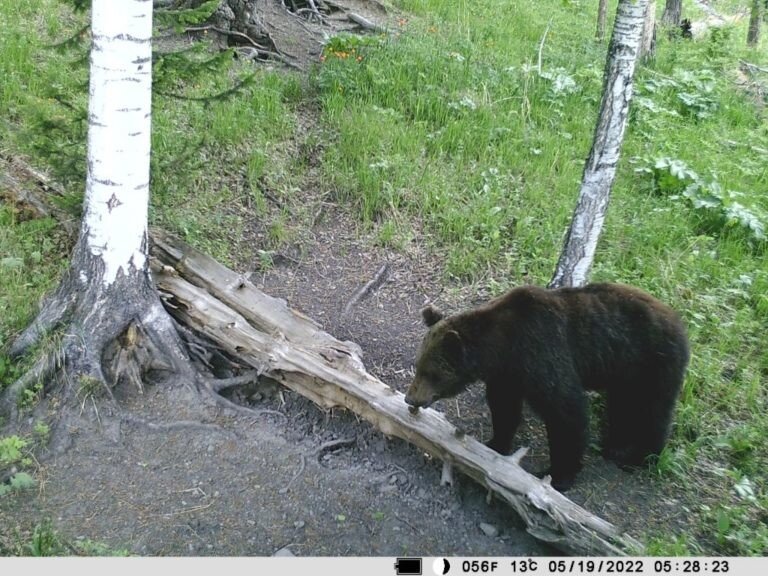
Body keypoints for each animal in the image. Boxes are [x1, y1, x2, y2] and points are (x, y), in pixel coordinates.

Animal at [402, 284, 688, 490]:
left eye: (431, 373)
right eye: (418, 365)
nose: (409, 398)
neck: (502, 348)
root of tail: (678, 320)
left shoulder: (543, 355)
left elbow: (566, 412)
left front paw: (558, 474)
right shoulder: (508, 375)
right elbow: (504, 408)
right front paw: (494, 443)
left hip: (651, 362)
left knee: (652, 410)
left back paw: (640, 458)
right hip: (623, 370)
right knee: (622, 406)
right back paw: (614, 445)